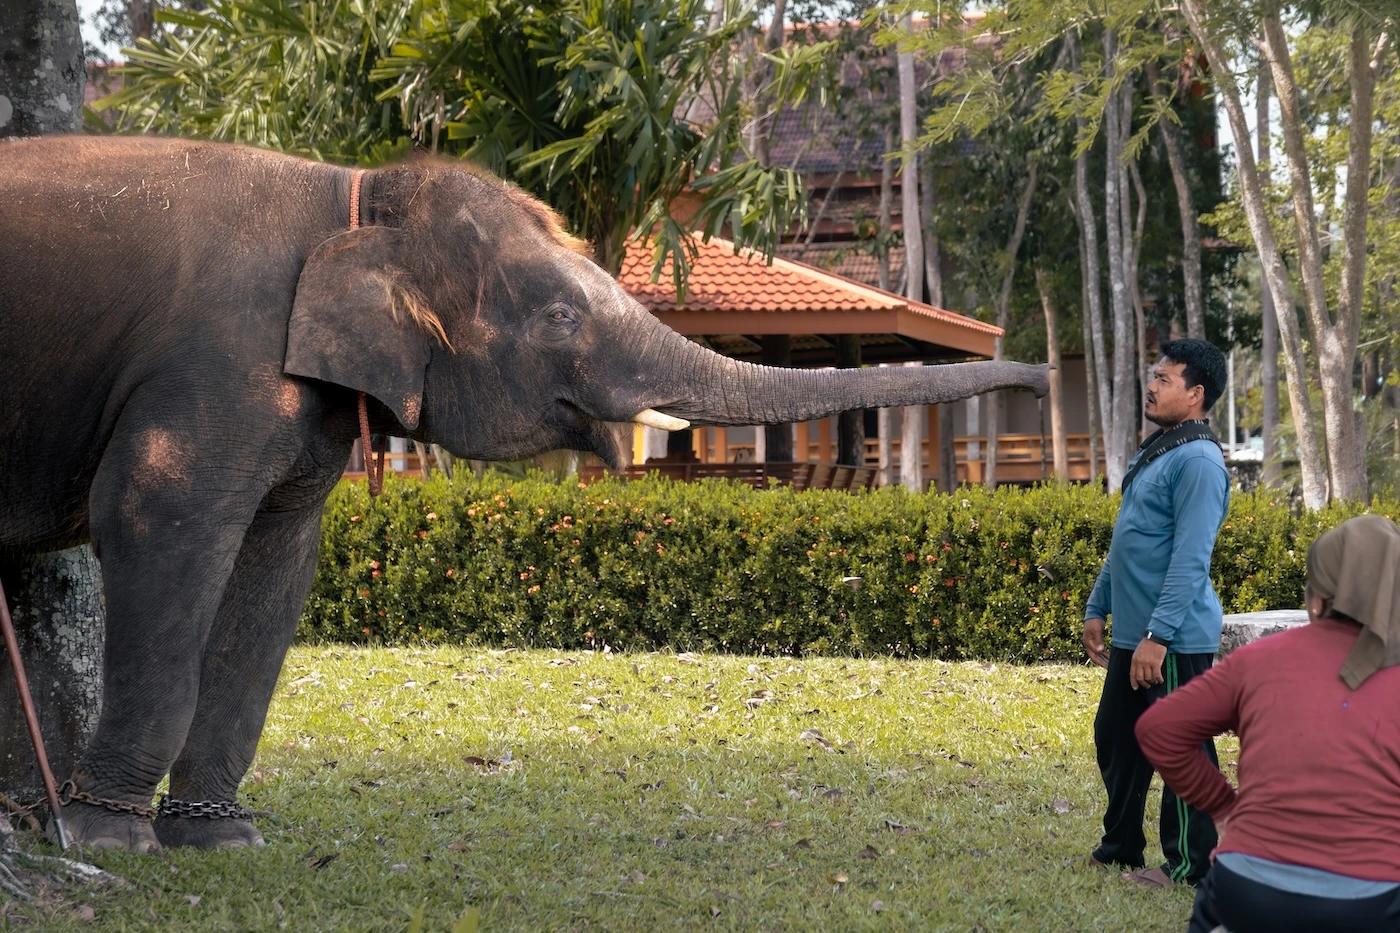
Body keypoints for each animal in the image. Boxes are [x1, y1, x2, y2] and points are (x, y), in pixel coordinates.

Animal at [0, 135, 1049, 853]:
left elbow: (275, 570)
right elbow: (155, 523)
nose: (1037, 376)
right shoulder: (215, 367)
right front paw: (111, 841)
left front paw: (222, 838)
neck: (352, 192)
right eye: (559, 316)